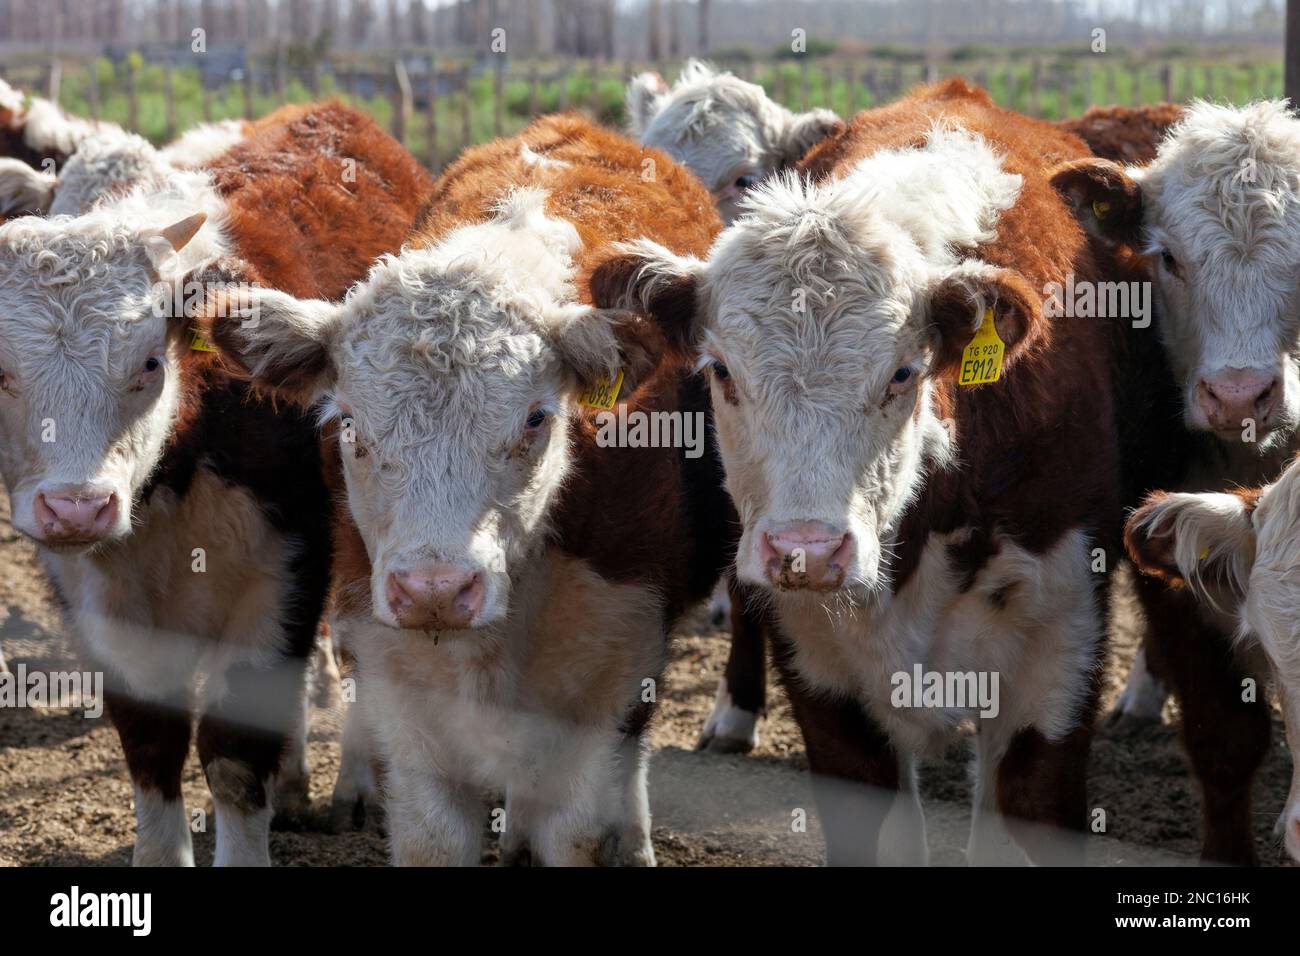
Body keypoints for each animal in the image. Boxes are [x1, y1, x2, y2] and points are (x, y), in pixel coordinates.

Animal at [0, 101, 431, 865]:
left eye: (149, 362)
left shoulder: (285, 571)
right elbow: (151, 740)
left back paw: (355, 788)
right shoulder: (96, 601)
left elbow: (232, 749)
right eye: (1, 372)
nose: (77, 509)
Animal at [209, 113, 730, 866]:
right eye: (348, 423)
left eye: (536, 419)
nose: (436, 590)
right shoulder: (404, 688)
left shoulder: (610, 666)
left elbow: (577, 823)